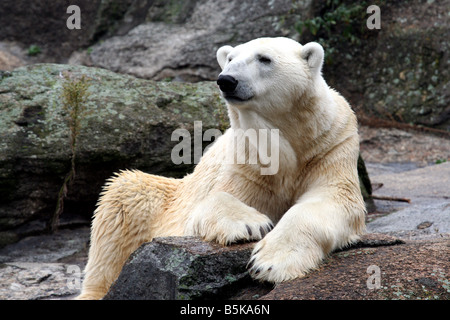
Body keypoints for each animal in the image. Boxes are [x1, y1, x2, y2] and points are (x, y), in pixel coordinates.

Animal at [77, 37, 366, 300]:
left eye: (264, 58)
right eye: (230, 58)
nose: (227, 80)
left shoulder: (330, 146)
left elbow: (335, 199)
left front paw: (269, 262)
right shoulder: (246, 158)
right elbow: (215, 199)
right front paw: (251, 225)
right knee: (120, 204)